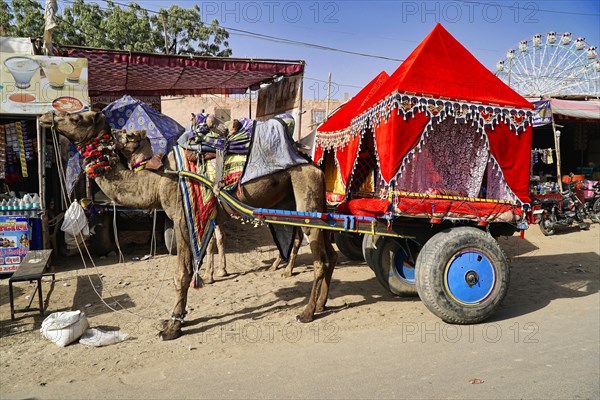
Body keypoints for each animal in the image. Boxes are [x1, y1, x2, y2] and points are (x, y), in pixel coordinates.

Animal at [38, 110, 338, 340]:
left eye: (76, 118)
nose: (45, 116)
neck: (159, 179)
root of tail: (314, 164)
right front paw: (179, 317)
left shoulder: (183, 219)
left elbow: (181, 274)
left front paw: (172, 326)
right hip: (307, 200)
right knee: (329, 253)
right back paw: (321, 304)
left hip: (306, 194)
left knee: (320, 257)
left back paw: (306, 312)